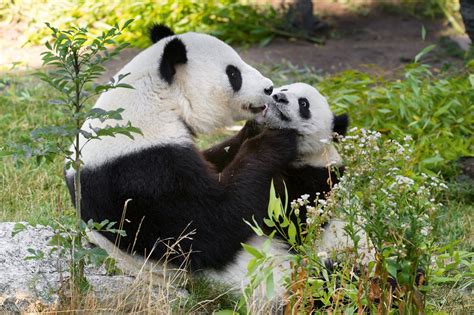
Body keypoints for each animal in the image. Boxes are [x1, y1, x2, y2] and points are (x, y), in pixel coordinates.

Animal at [65, 25, 300, 292]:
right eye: (233, 73)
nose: (269, 88)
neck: (155, 98)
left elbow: (217, 160)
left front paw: (257, 128)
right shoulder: (142, 174)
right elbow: (210, 225)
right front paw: (275, 140)